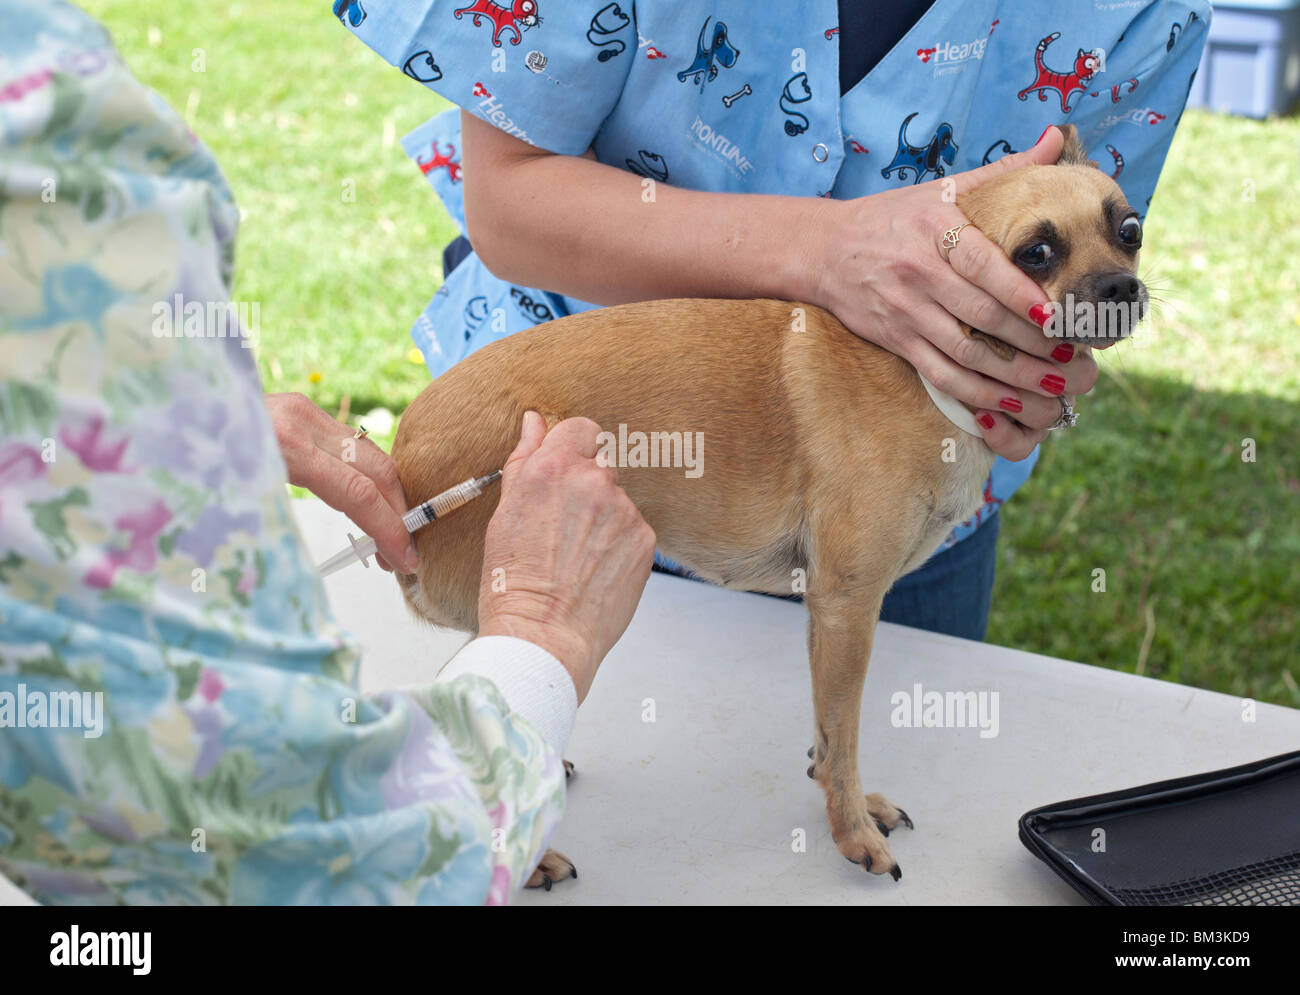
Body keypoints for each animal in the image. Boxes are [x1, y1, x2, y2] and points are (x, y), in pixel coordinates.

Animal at [390, 122, 1144, 884]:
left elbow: (825, 740)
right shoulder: (847, 609)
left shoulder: (828, 616)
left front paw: (850, 802)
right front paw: (852, 829)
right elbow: (843, 735)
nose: (1122, 286)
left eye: (1129, 229)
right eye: (1035, 254)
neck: (918, 373)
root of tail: (402, 459)